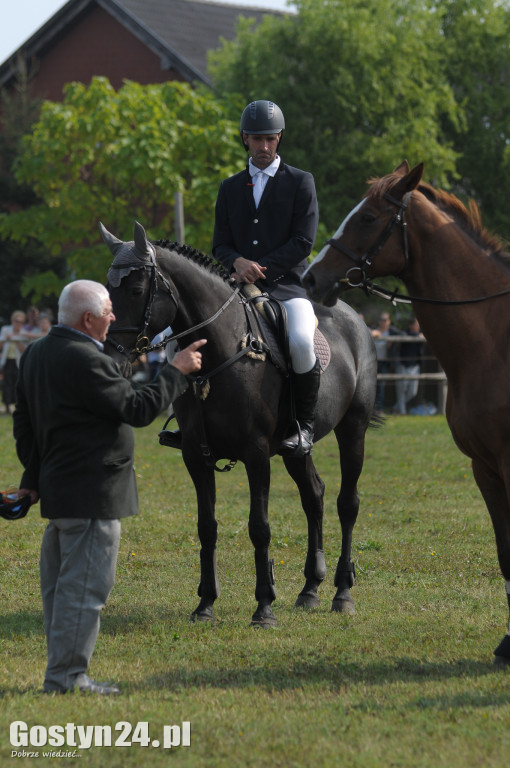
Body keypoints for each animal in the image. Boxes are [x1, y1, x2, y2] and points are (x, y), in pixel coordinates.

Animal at [101, 220, 376, 624]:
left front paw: (264, 607)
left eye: (136, 290)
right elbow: (206, 527)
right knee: (314, 495)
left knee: (348, 503)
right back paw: (310, 588)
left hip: (353, 429)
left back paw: (342, 592)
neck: (222, 349)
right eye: (106, 290)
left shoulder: (257, 454)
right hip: (295, 449)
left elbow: (259, 527)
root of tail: (354, 318)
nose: (111, 358)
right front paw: (205, 604)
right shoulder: (195, 456)